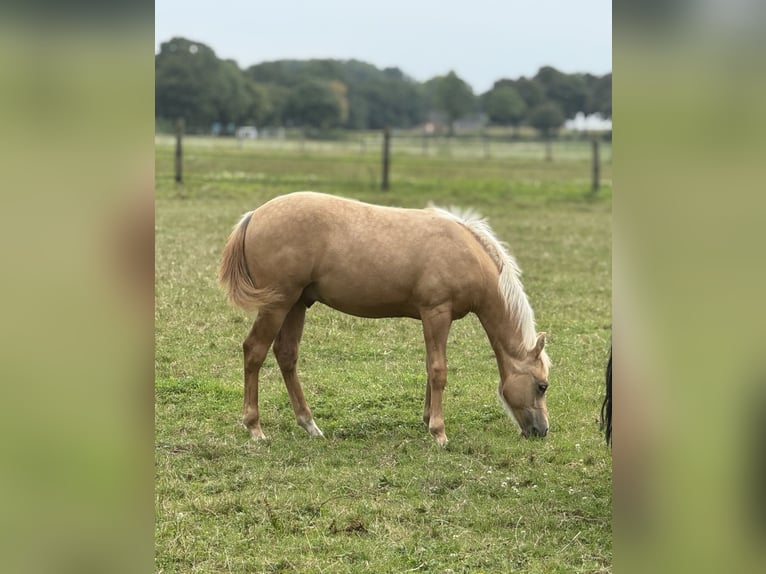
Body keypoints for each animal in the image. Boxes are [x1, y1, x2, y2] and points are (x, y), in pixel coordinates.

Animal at [218, 192, 550, 446]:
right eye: (542, 386)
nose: (542, 431)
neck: (466, 253)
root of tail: (254, 216)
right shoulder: (436, 312)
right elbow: (439, 370)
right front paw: (439, 433)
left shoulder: (434, 318)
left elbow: (430, 367)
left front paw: (427, 419)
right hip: (277, 305)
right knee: (254, 351)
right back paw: (255, 428)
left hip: (297, 304)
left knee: (286, 355)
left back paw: (310, 425)